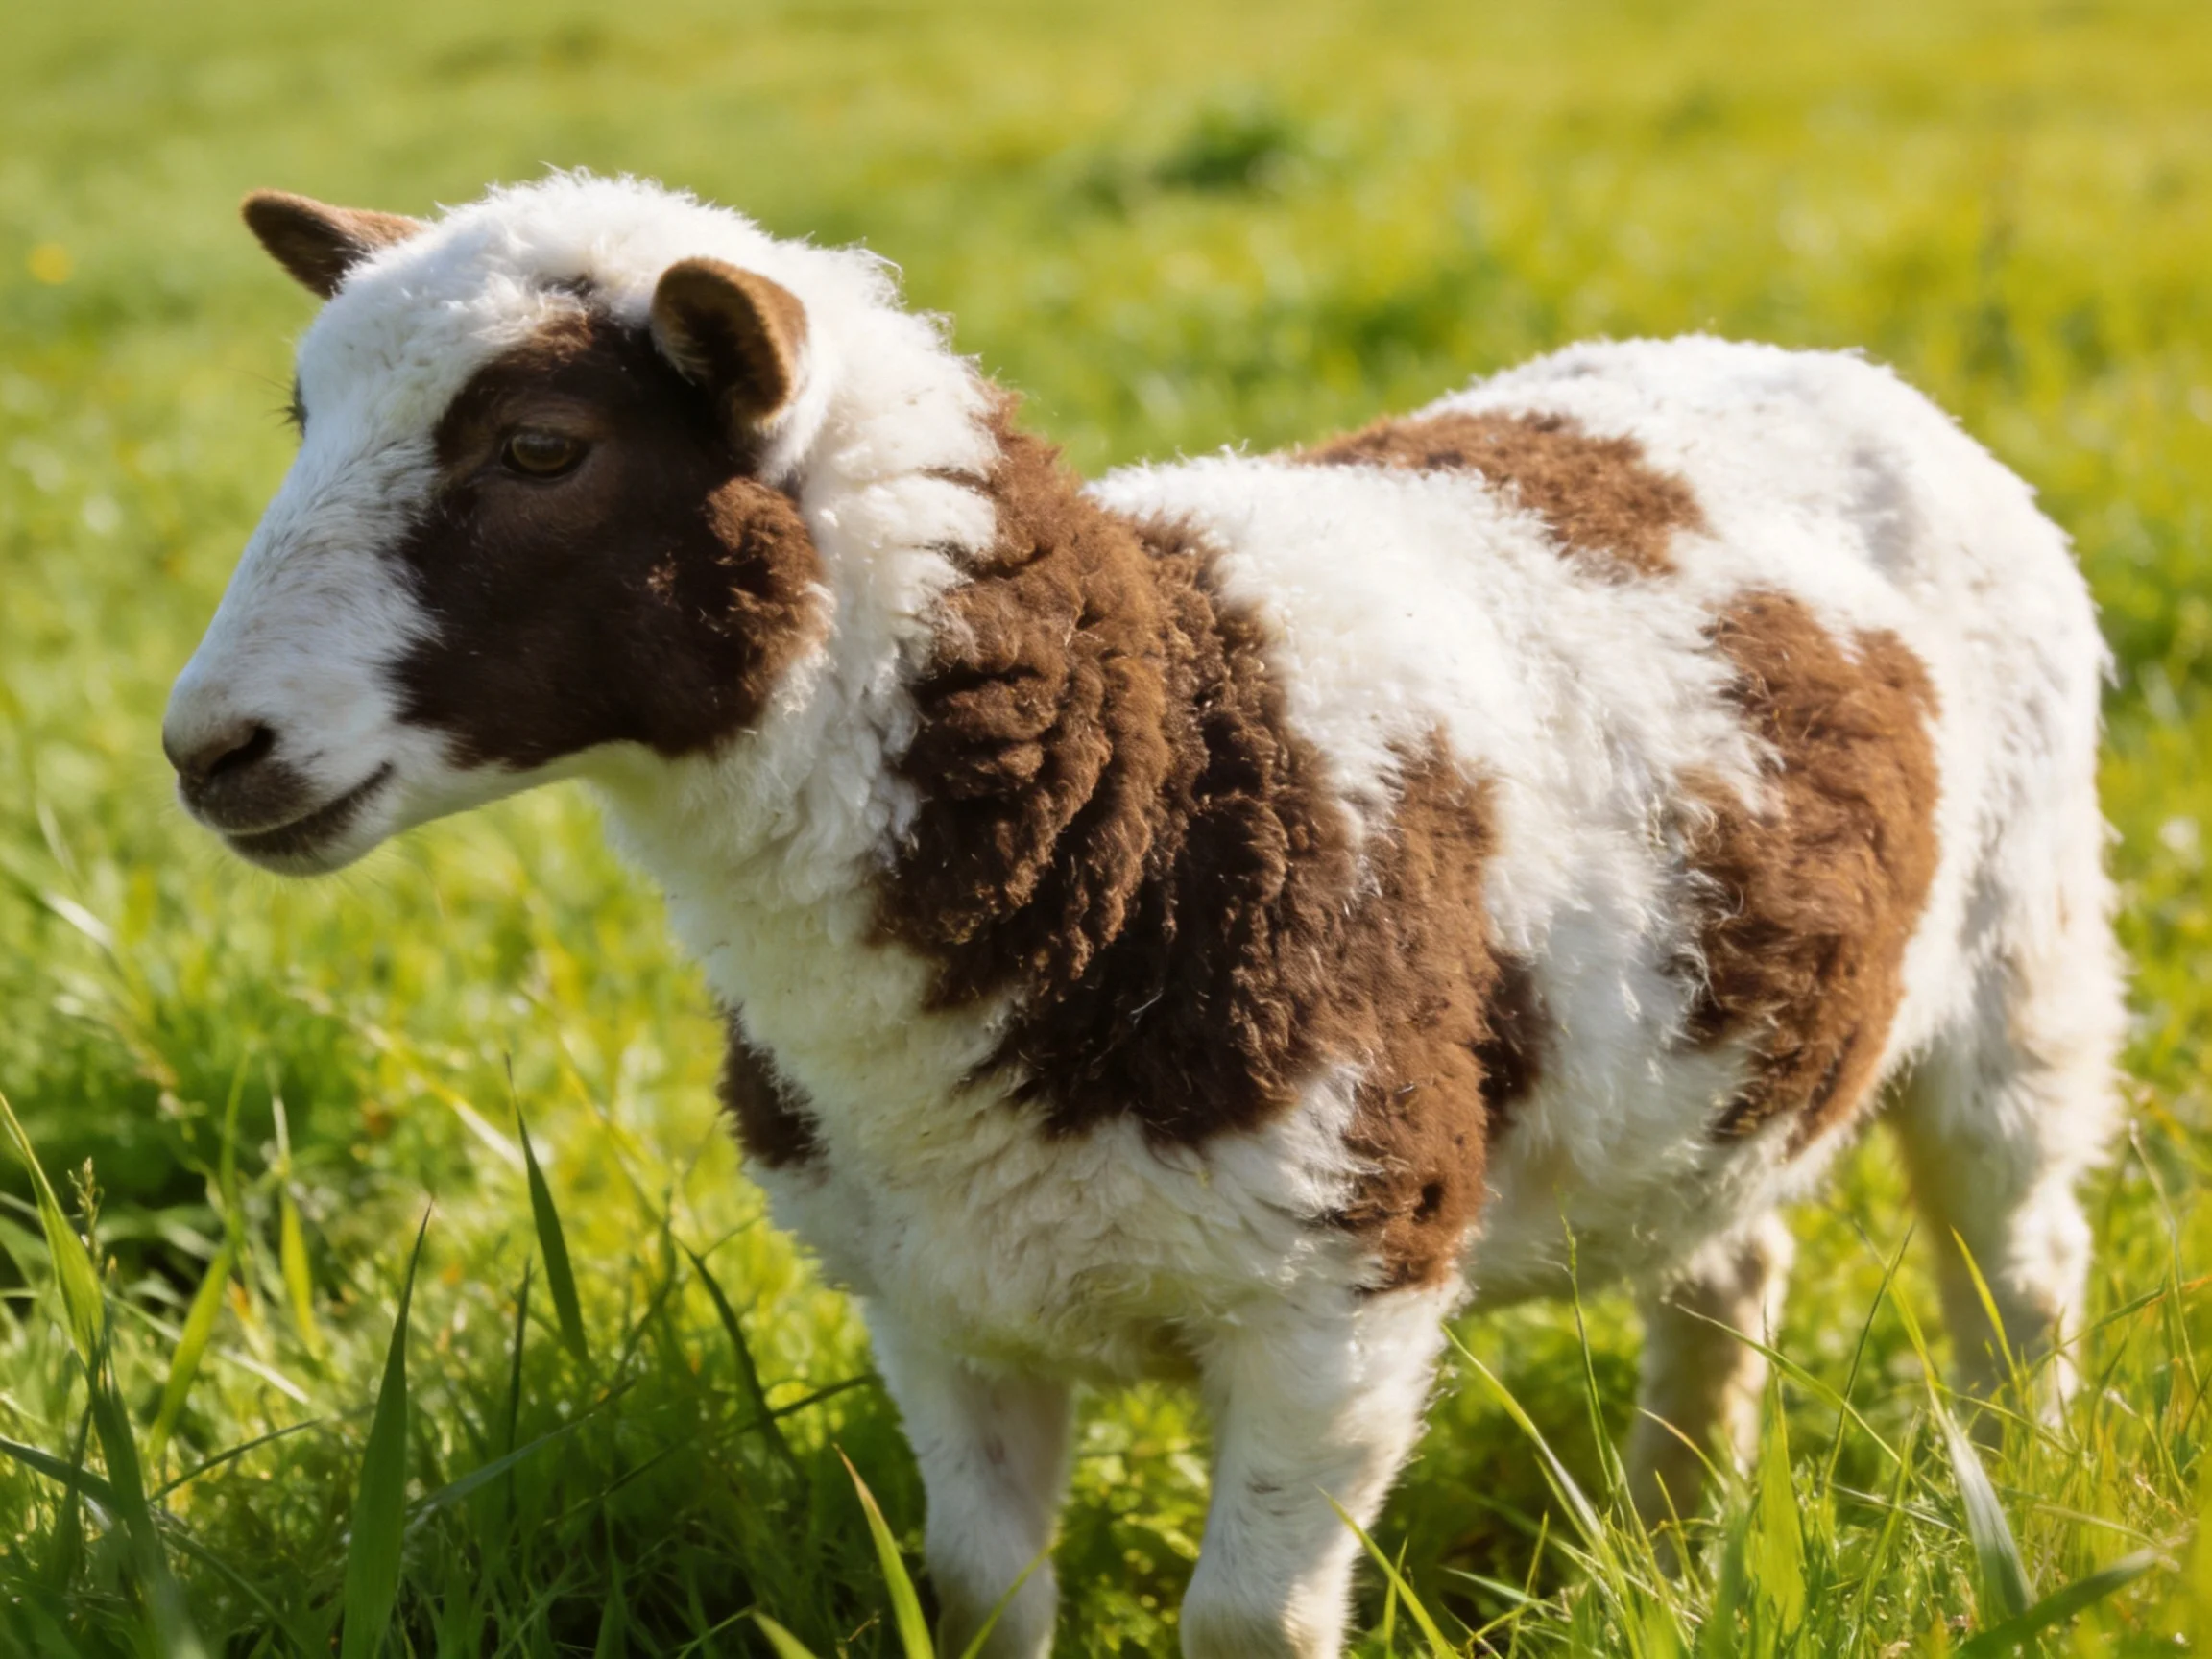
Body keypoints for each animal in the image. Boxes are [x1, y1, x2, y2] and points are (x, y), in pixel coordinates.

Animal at [164, 173, 2123, 1659]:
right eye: (303, 419)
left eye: (541, 445)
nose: (208, 749)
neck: (1139, 770)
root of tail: (1808, 358)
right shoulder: (932, 1298)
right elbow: (976, 1601)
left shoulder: (1338, 1280)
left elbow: (1244, 1627)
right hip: (1719, 1044)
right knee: (1725, 1260)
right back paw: (1659, 1536)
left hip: (2023, 949)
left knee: (2016, 1266)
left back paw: (2009, 1511)